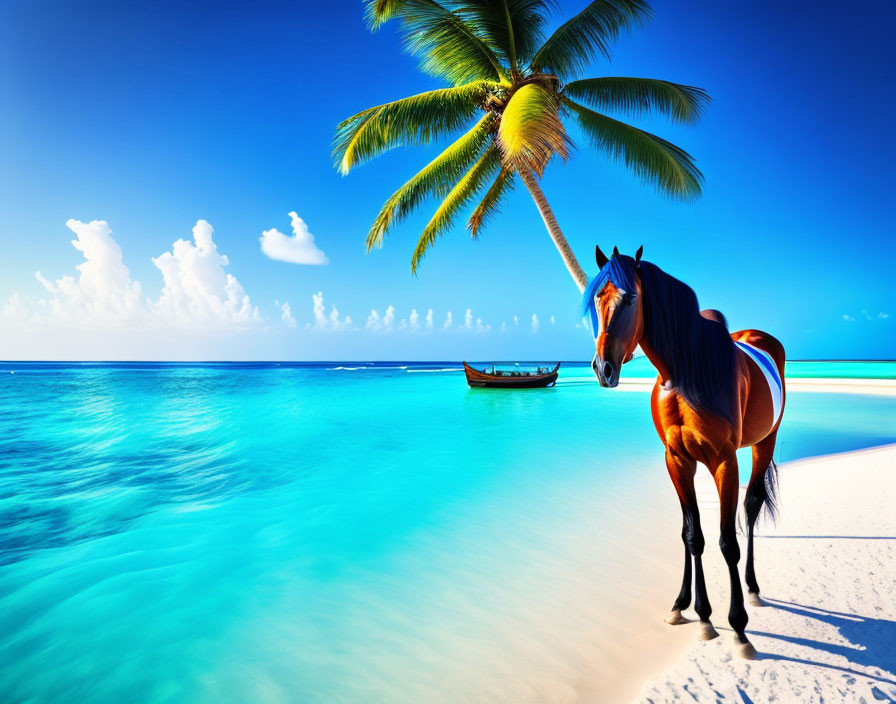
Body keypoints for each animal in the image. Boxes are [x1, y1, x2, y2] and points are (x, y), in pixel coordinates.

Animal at [580, 243, 784, 660]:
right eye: (596, 297)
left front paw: (739, 628)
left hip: (764, 442)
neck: (686, 370)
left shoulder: (724, 461)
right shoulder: (676, 459)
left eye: (632, 298)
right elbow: (692, 534)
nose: (602, 368)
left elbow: (726, 542)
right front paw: (695, 612)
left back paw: (753, 589)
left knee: (751, 506)